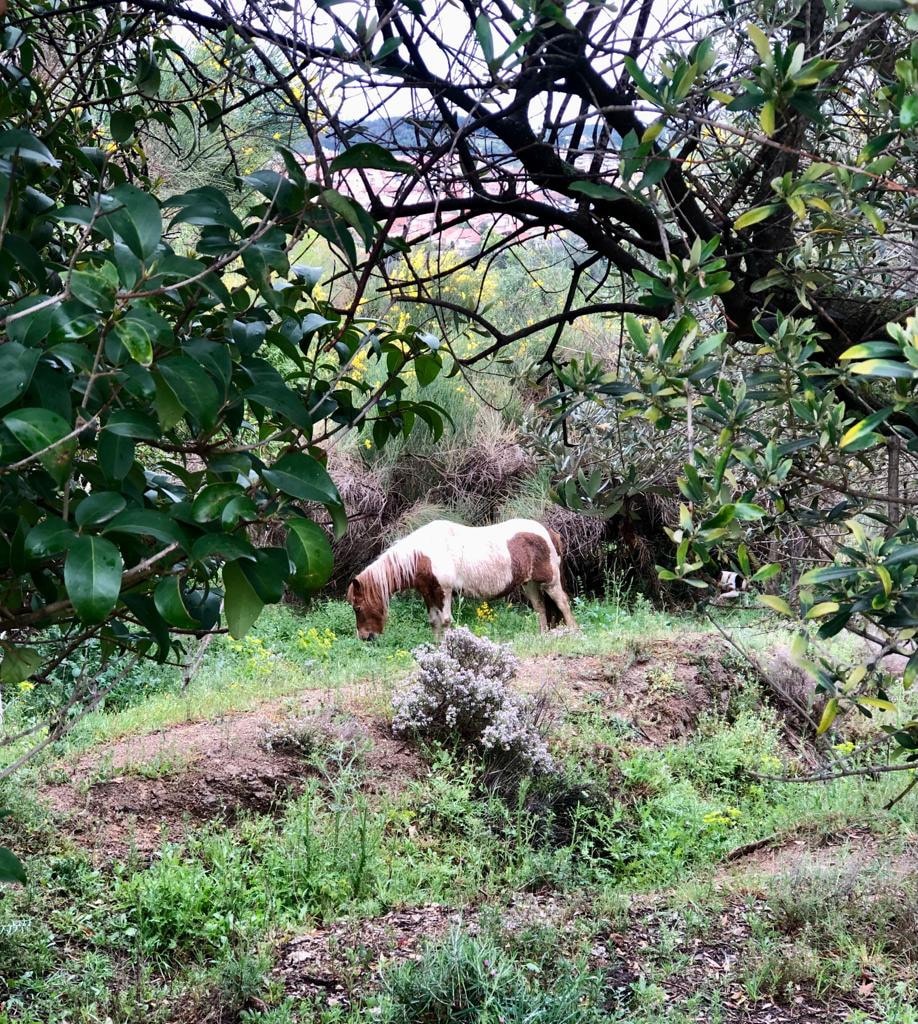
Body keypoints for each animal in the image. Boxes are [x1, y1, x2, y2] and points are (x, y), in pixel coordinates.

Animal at [344, 520, 573, 638]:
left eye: (357, 607)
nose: (365, 637)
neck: (423, 555)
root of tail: (549, 532)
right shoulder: (430, 593)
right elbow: (434, 622)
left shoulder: (444, 591)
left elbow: (445, 621)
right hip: (530, 584)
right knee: (540, 608)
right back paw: (543, 637)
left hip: (550, 582)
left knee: (563, 603)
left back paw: (573, 632)